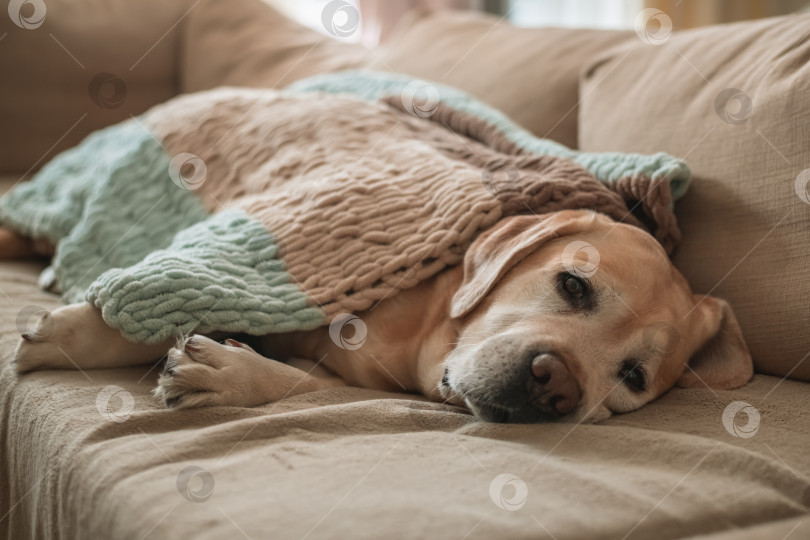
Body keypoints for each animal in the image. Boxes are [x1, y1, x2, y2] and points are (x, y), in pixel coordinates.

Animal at [0, 209, 752, 424]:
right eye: (573, 285)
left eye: (632, 378)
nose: (557, 386)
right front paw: (71, 333)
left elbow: (303, 381)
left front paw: (225, 374)